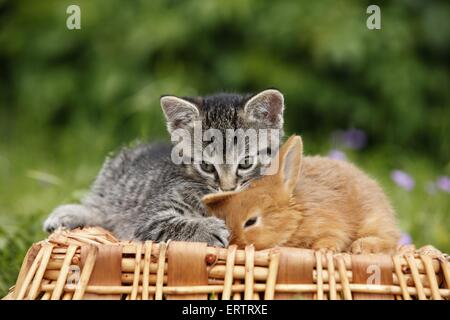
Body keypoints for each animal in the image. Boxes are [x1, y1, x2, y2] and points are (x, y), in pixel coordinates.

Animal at [44, 89, 284, 246]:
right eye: (206, 166)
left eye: (245, 163)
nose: (227, 189)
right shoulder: (150, 219)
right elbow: (172, 223)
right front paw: (208, 229)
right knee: (98, 210)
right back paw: (65, 215)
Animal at [202, 134, 400, 252]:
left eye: (251, 221)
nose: (234, 244)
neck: (297, 218)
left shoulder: (331, 223)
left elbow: (334, 236)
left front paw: (323, 249)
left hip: (375, 220)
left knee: (390, 241)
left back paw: (360, 246)